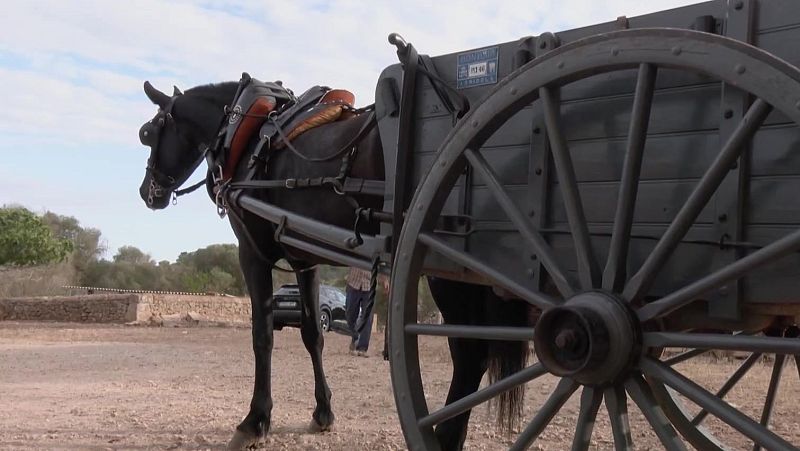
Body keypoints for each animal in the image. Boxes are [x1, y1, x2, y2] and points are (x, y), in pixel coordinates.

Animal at [137, 80, 530, 450]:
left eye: (149, 132)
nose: (146, 192)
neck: (251, 130)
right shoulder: (305, 260)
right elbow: (313, 335)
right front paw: (323, 412)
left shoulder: (252, 253)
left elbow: (262, 336)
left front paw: (255, 420)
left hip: (447, 265)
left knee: (470, 357)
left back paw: (444, 437)